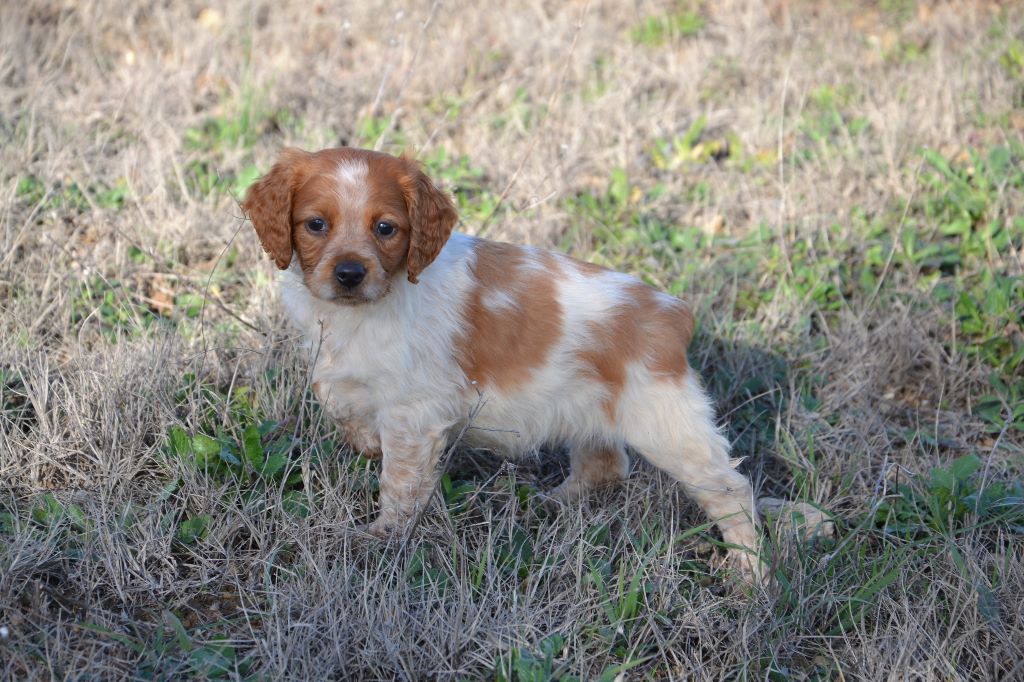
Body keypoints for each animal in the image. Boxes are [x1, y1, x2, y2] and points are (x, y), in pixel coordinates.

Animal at [243, 147, 765, 577]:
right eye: (316, 224)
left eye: (385, 228)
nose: (349, 274)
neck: (372, 304)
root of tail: (674, 312)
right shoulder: (342, 369)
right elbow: (339, 402)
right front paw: (368, 443)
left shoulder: (416, 414)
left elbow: (400, 481)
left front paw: (382, 539)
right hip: (592, 412)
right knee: (607, 465)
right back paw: (553, 503)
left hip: (668, 426)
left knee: (730, 490)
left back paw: (750, 577)